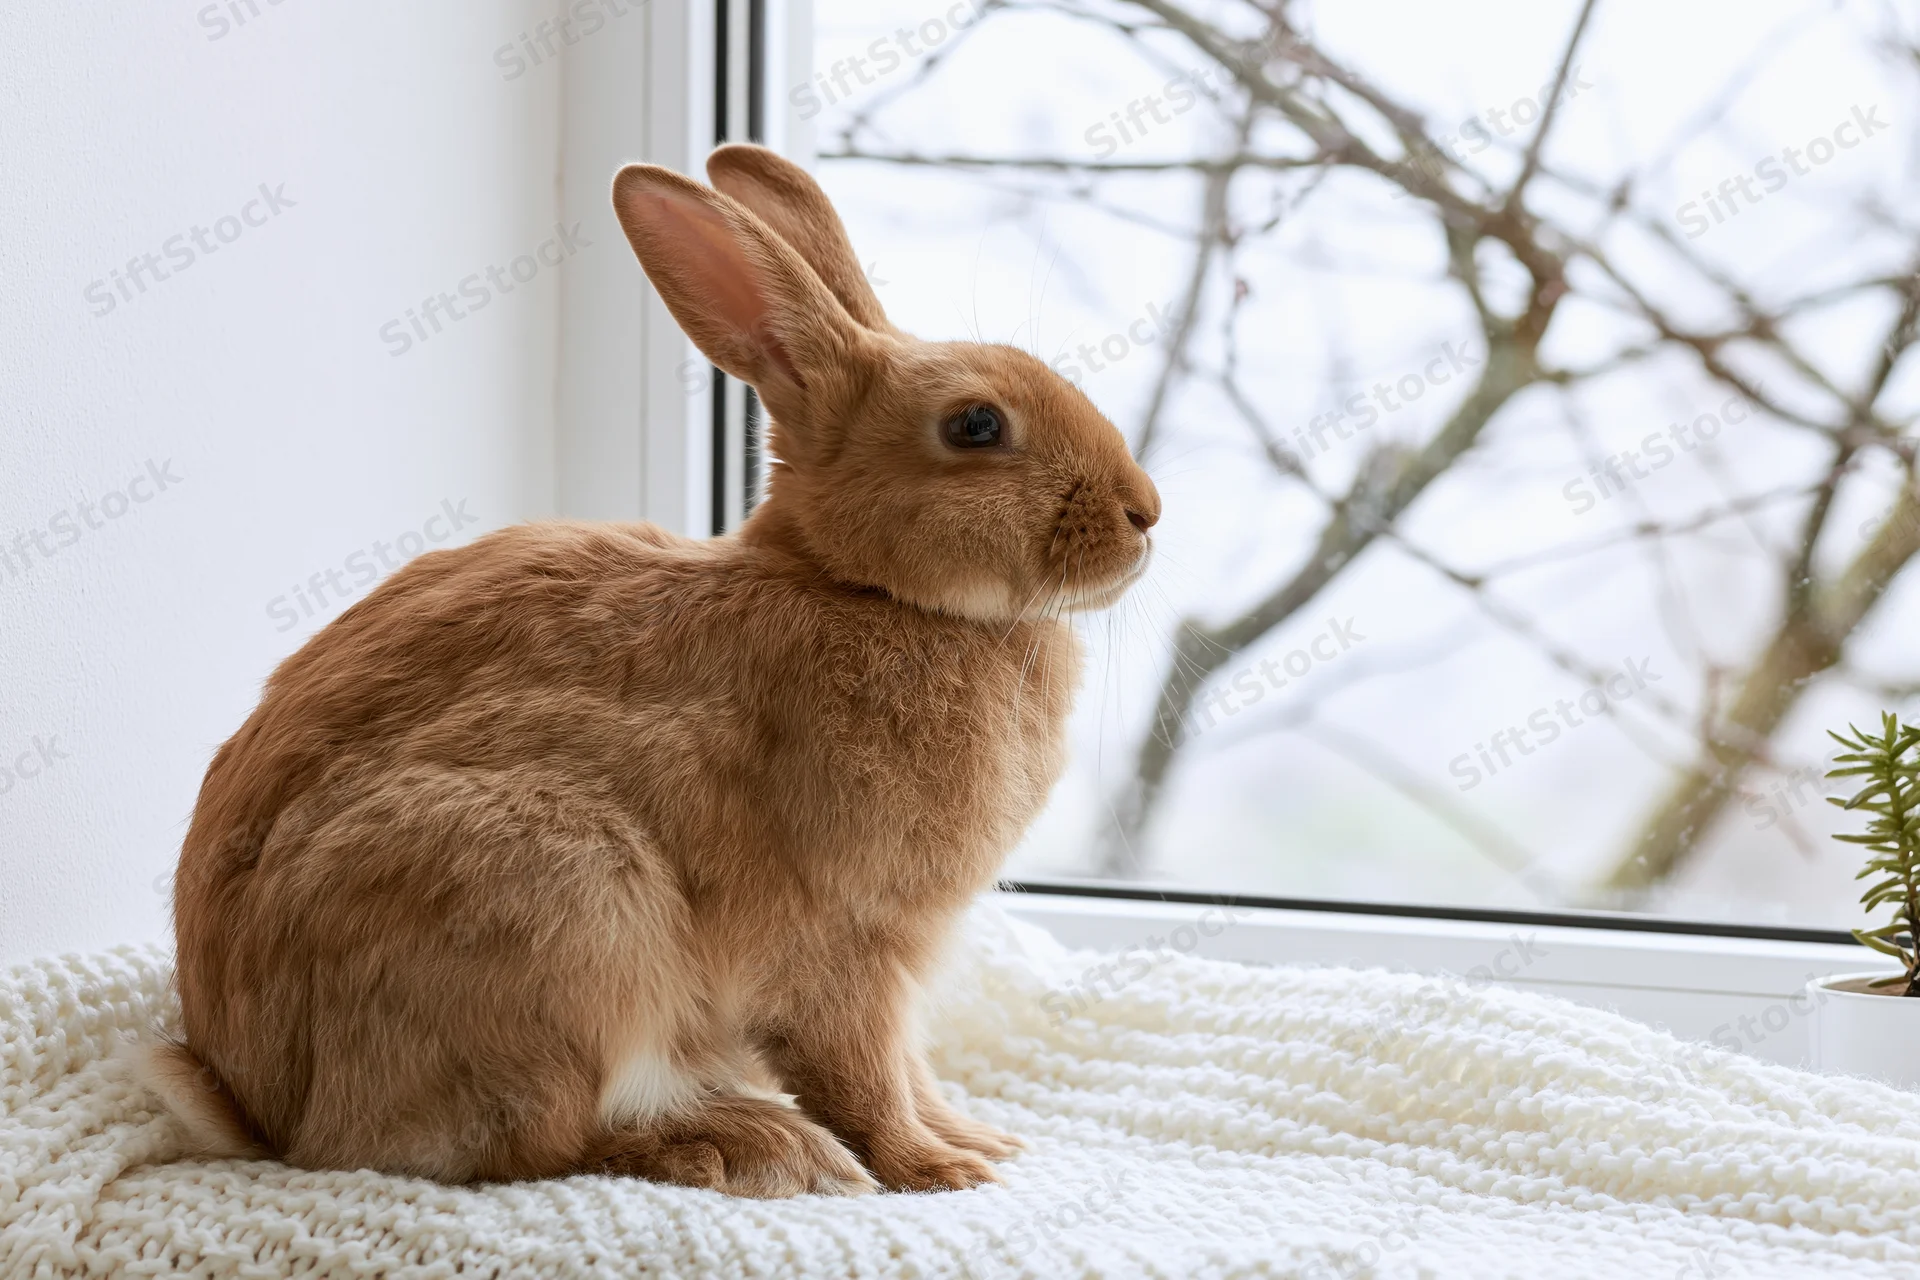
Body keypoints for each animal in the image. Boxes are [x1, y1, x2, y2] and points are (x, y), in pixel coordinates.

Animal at [152, 143, 1160, 1197]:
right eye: (975, 426)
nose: (1147, 512)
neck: (863, 587)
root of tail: (269, 1113)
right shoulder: (845, 945)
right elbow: (866, 1074)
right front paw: (941, 1169)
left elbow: (913, 1068)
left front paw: (977, 1139)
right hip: (569, 907)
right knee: (539, 1144)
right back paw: (750, 1145)